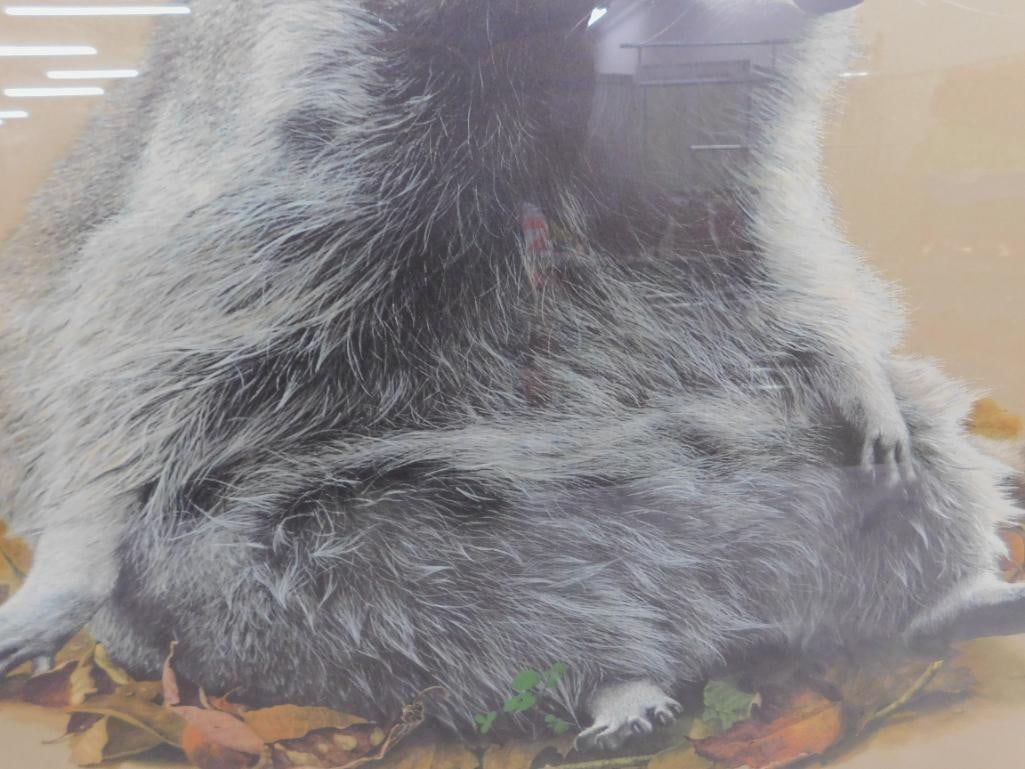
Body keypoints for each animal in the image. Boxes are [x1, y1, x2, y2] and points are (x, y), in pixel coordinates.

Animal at [1, 0, 1023, 750]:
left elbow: (763, 258)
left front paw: (853, 365)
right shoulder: (306, 111)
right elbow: (158, 332)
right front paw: (79, 537)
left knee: (917, 458)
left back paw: (937, 602)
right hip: (266, 585)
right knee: (380, 567)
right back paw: (613, 675)